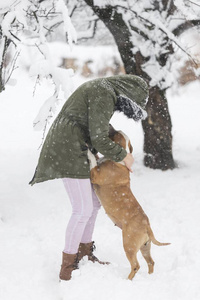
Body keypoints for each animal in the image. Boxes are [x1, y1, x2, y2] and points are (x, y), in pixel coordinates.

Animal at [88, 125, 170, 280]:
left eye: (114, 133)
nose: (109, 126)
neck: (118, 161)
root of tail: (147, 225)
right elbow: (96, 159)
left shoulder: (95, 174)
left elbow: (92, 162)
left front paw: (88, 152)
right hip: (145, 246)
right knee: (151, 262)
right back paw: (149, 277)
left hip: (129, 245)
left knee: (136, 265)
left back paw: (127, 280)